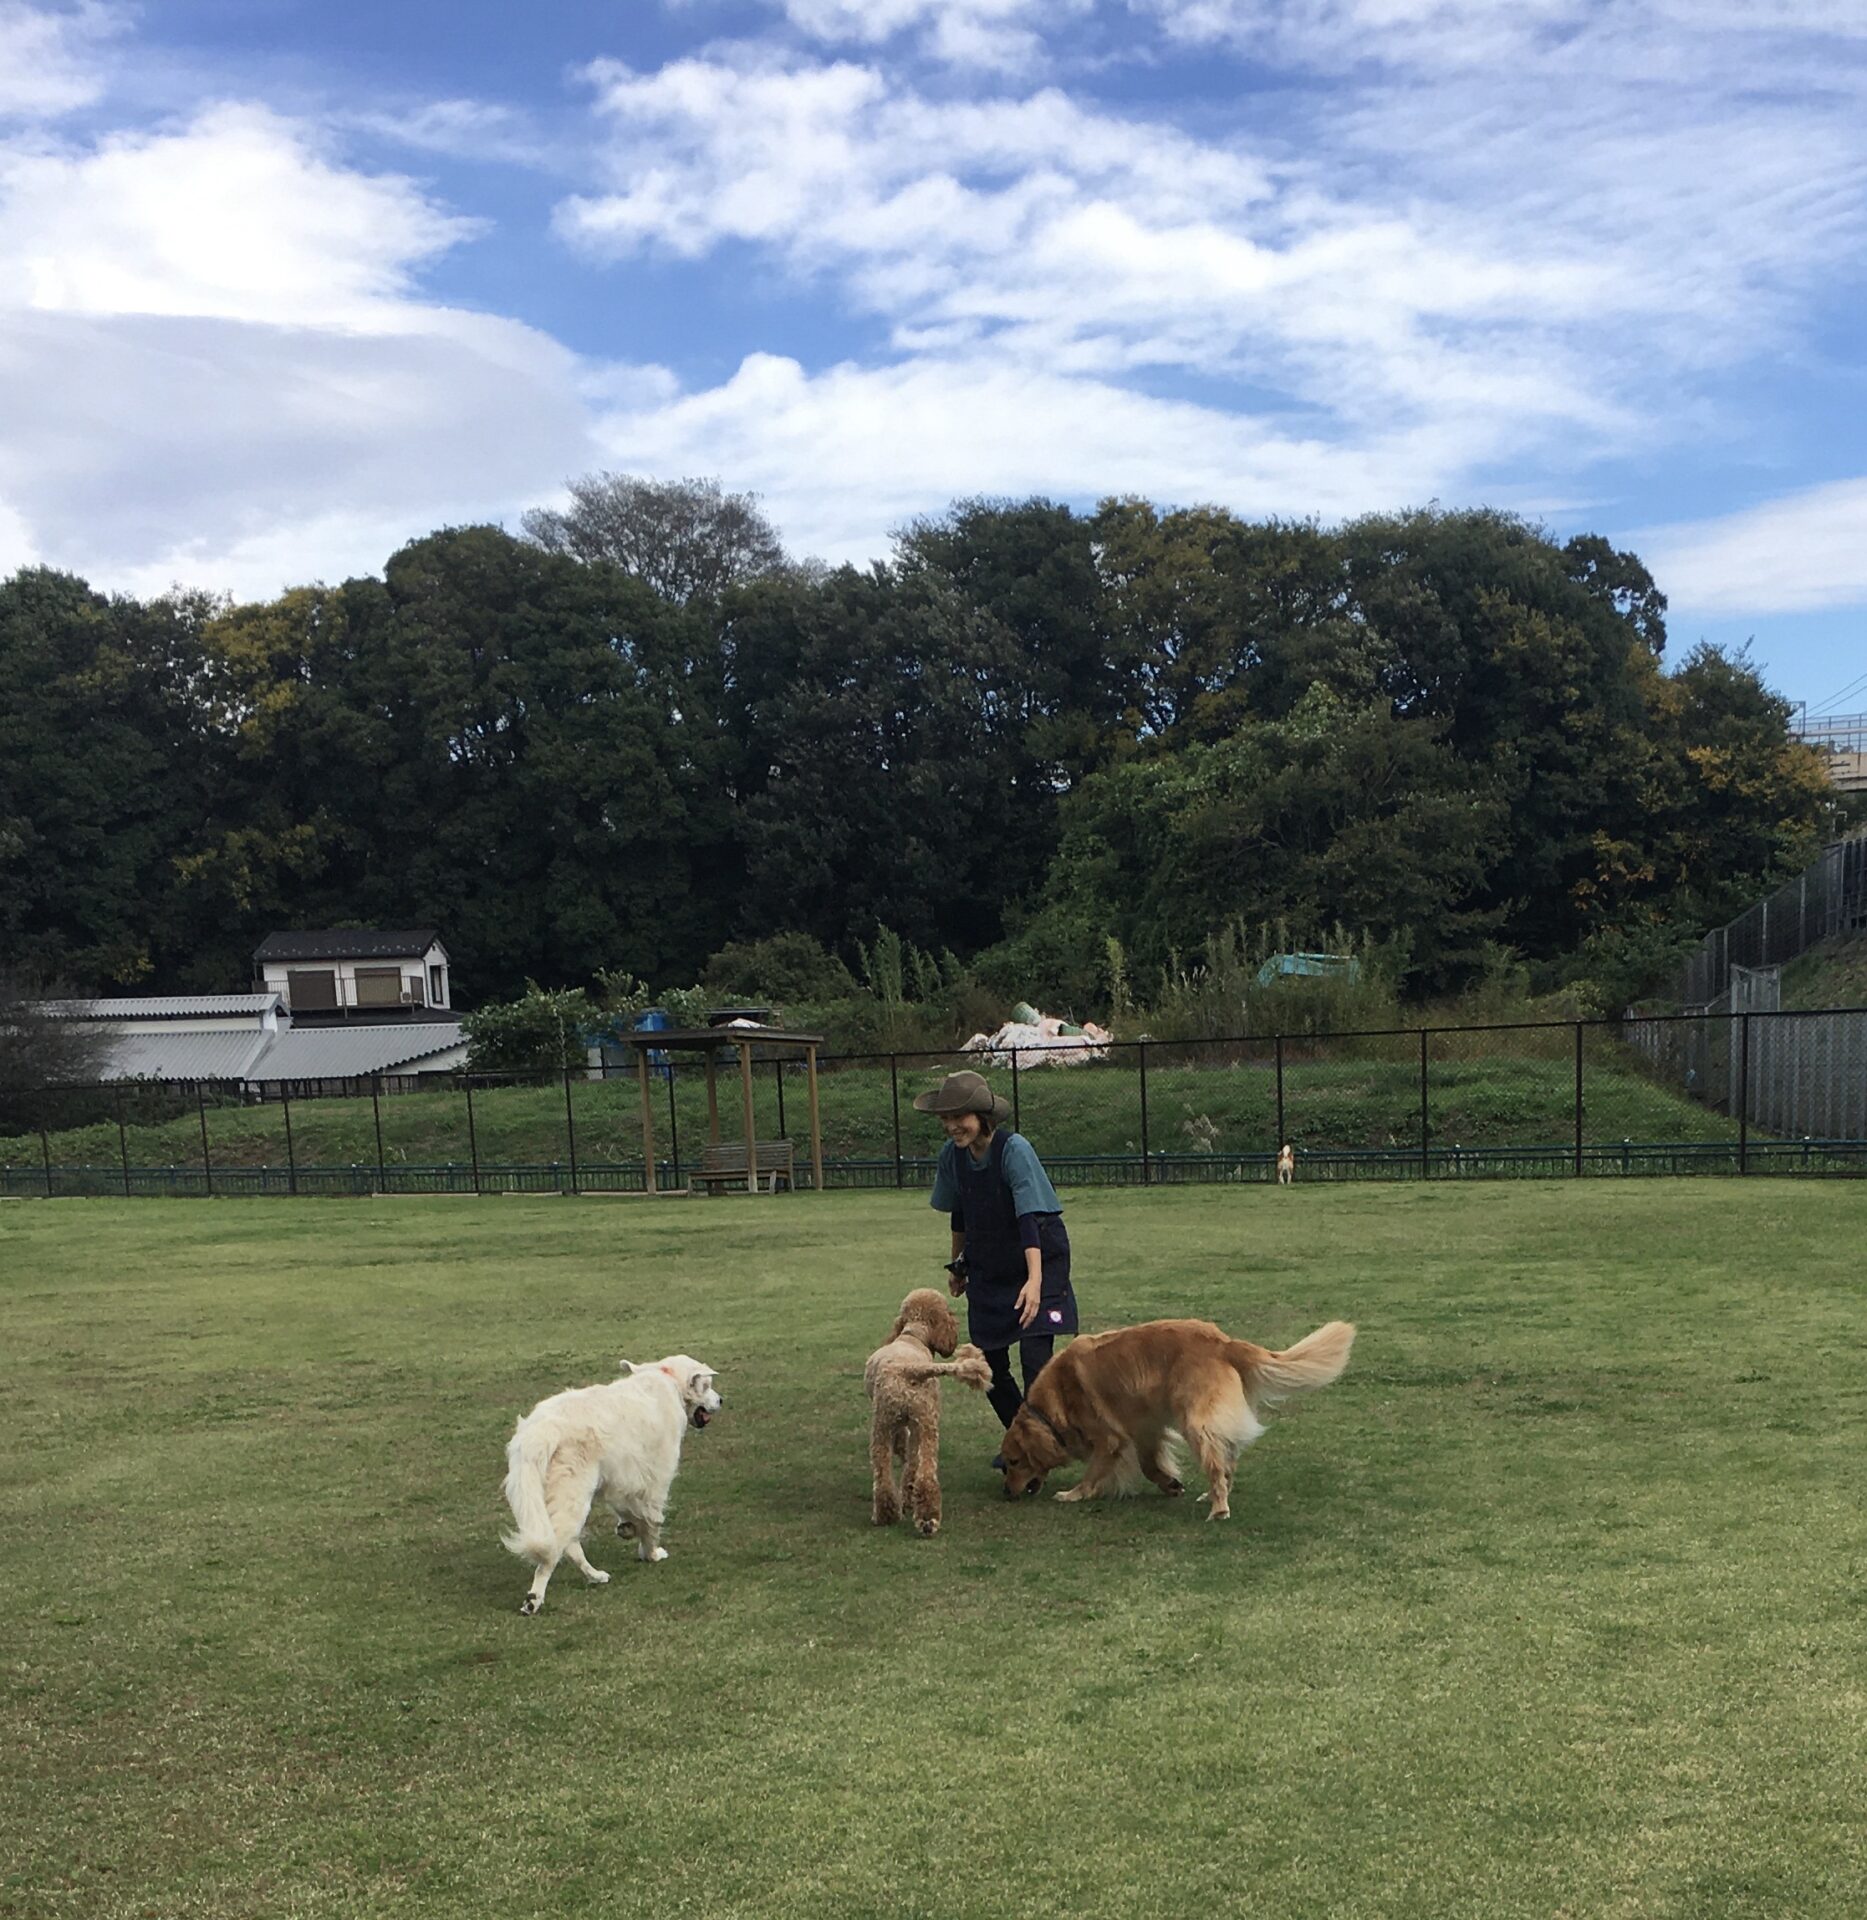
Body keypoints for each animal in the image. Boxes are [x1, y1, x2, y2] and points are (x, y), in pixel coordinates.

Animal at [502, 1354, 721, 1615]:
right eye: (707, 1385)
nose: (721, 1400)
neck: (667, 1379)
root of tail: (540, 1430)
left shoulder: (621, 1479)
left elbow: (629, 1511)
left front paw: (627, 1528)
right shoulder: (656, 1481)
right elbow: (652, 1521)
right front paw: (651, 1553)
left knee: (568, 1544)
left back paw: (595, 1576)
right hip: (573, 1494)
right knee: (553, 1550)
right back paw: (534, 1598)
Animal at [865, 1288, 991, 1536]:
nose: (956, 1323)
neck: (912, 1337)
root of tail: (909, 1369)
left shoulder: (906, 1426)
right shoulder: (909, 1425)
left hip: (890, 1426)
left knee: (890, 1474)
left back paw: (891, 1514)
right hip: (921, 1425)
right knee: (920, 1474)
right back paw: (924, 1518)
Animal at [999, 1317, 1353, 1521]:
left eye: (1014, 1462)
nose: (1006, 1493)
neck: (1053, 1404)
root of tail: (1224, 1343)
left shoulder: (1110, 1438)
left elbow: (1094, 1472)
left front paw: (1073, 1494)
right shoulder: (1145, 1428)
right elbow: (1148, 1464)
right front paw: (1170, 1484)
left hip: (1196, 1421)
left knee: (1217, 1461)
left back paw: (1218, 1507)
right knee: (1227, 1458)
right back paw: (1214, 1493)